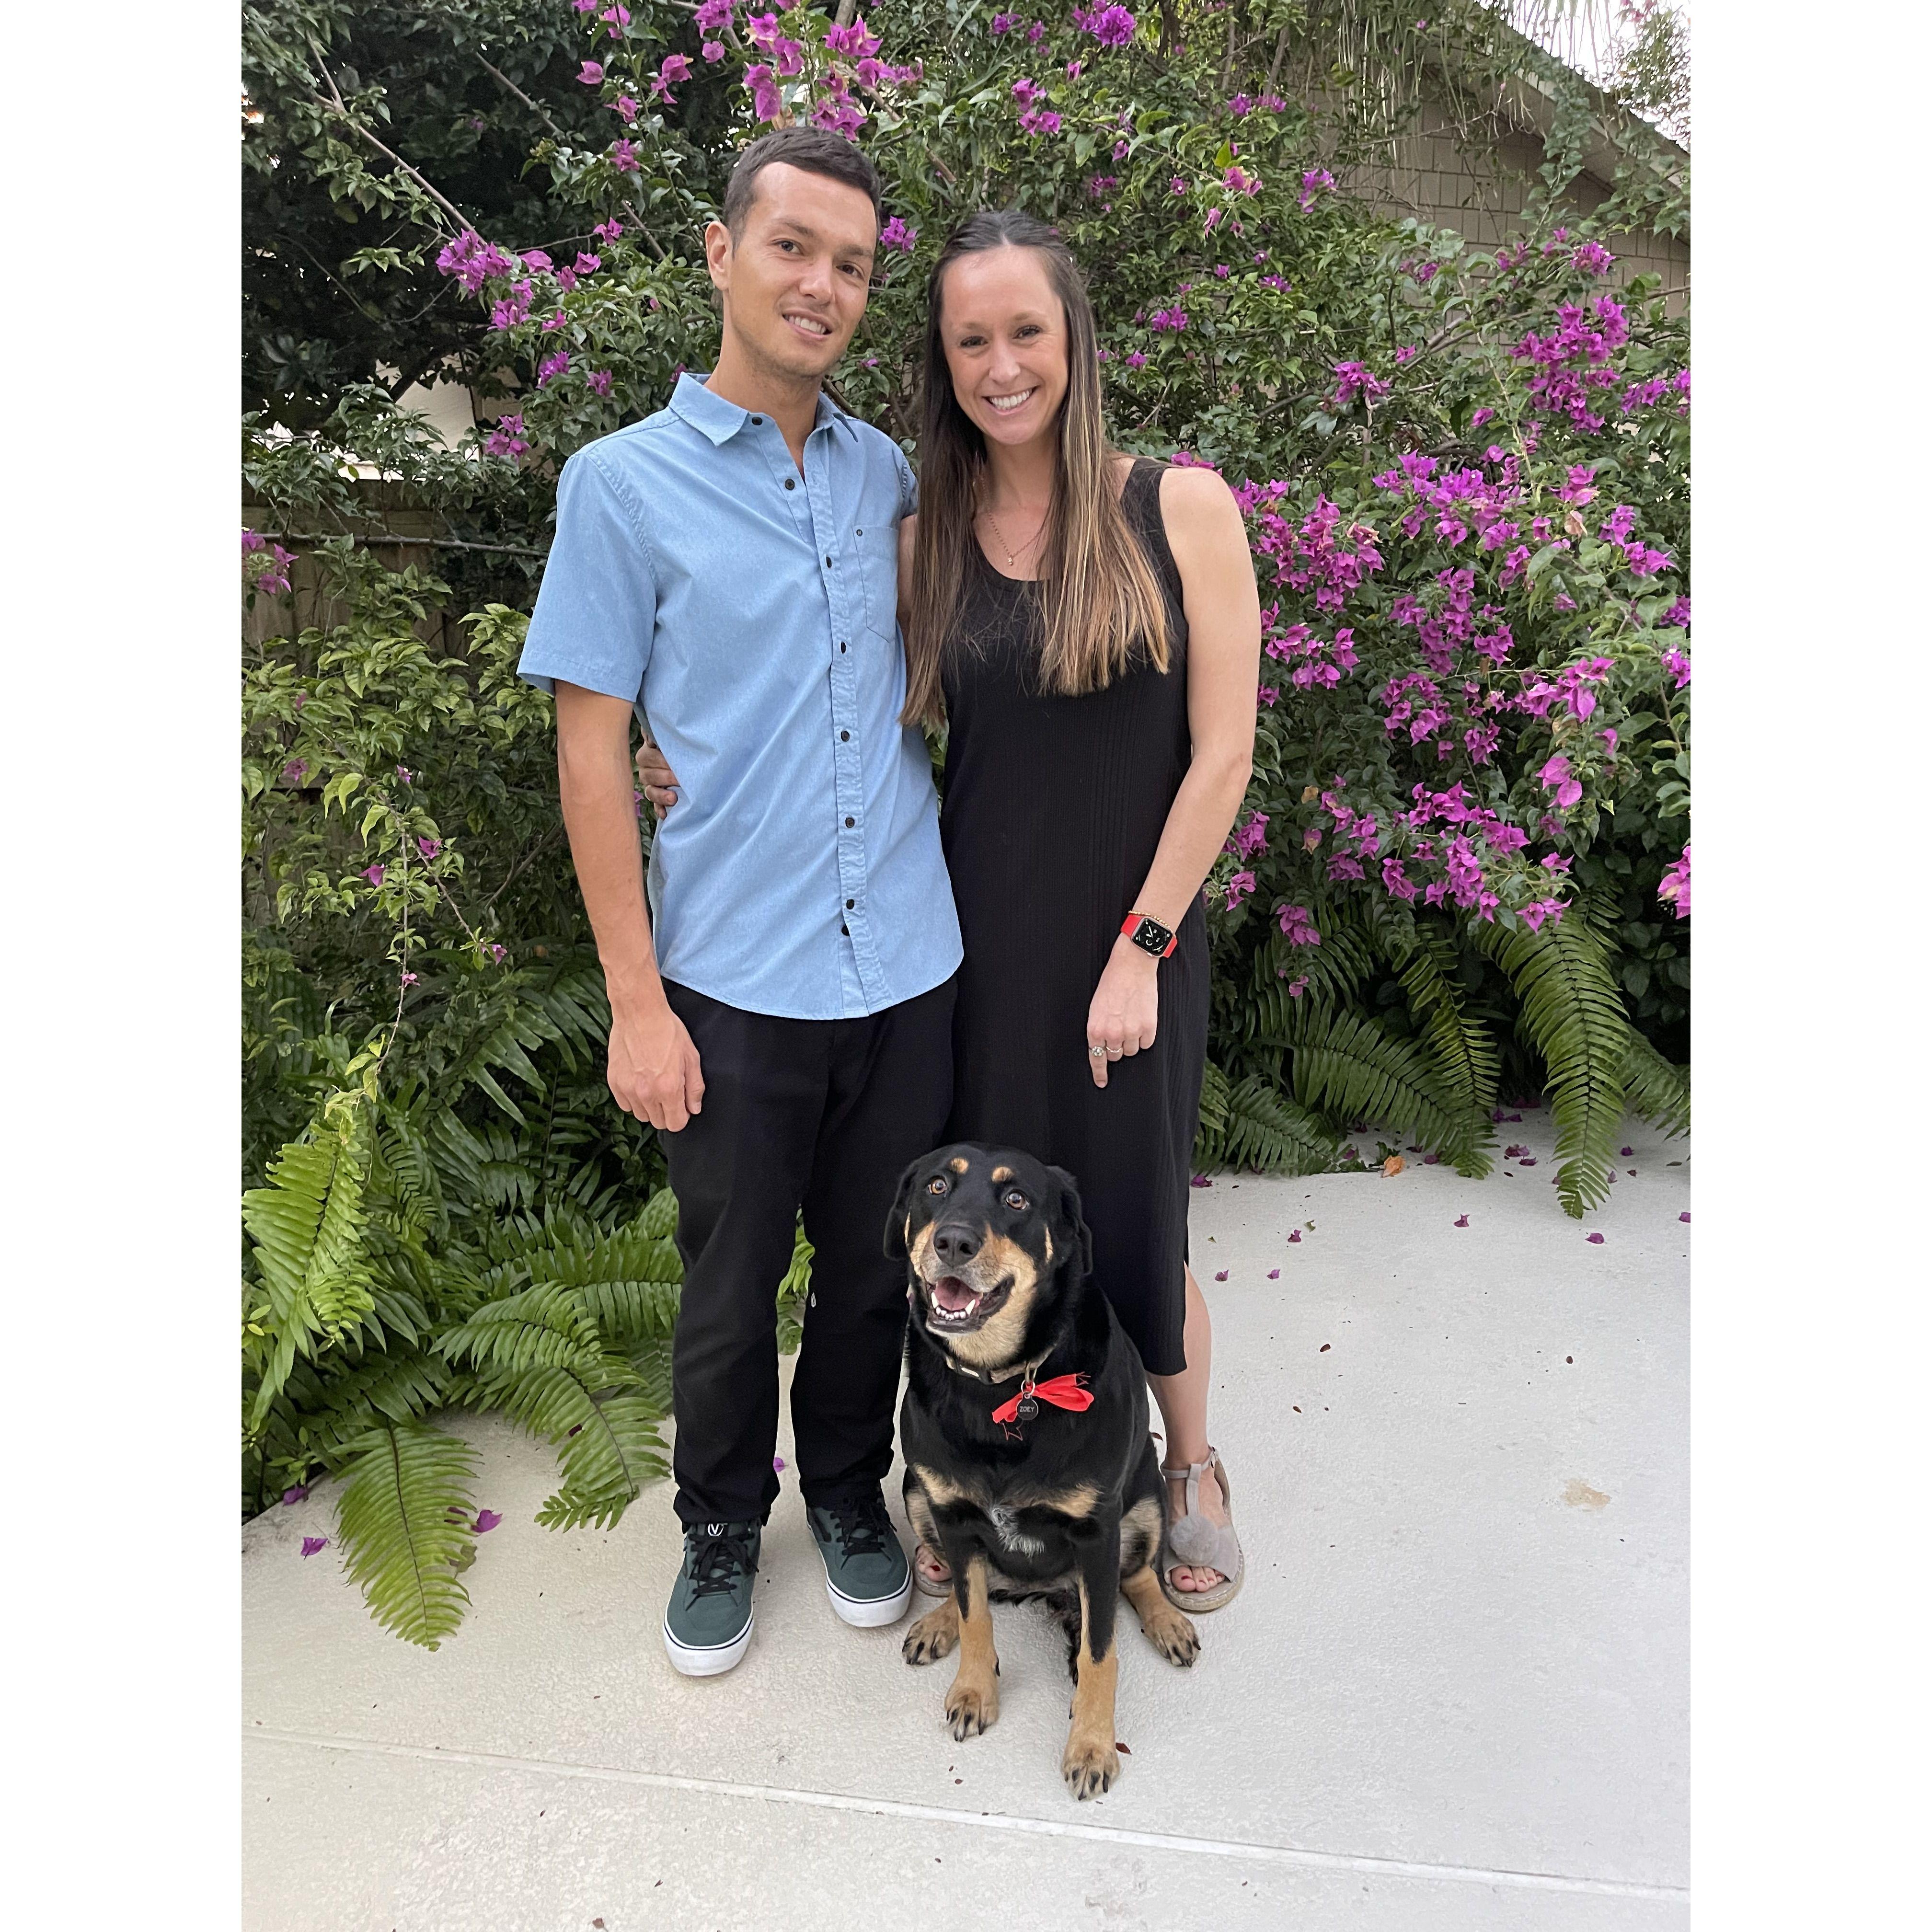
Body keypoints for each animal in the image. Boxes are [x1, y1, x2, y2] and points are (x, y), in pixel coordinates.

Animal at [887, 1142, 1200, 1799]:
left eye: (1016, 1200)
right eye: (935, 1186)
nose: (952, 1241)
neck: (1003, 1386)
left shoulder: (1097, 1533)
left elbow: (1100, 1655)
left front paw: (1092, 1745)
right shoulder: (953, 1514)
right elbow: (975, 1615)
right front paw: (974, 1690)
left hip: (1148, 1497)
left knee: (1138, 1577)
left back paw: (1167, 1622)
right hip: (916, 1493)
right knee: (969, 1587)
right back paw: (938, 1620)